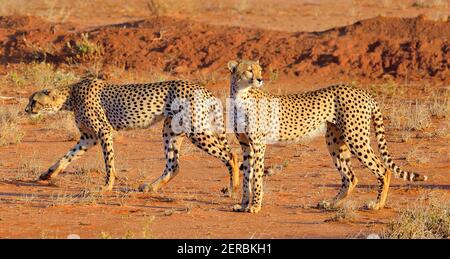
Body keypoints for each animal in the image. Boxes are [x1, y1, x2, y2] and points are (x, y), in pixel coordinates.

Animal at [24, 78, 241, 196]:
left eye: (34, 101)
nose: (26, 110)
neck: (71, 96)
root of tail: (201, 88)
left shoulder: (103, 131)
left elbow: (109, 162)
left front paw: (107, 186)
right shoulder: (88, 137)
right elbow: (67, 156)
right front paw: (47, 174)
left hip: (195, 130)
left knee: (232, 156)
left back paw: (233, 189)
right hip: (170, 129)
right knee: (174, 165)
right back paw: (151, 187)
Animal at [227, 60, 428, 214]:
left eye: (260, 70)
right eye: (249, 70)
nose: (260, 79)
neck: (241, 96)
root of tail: (362, 91)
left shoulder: (258, 144)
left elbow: (256, 176)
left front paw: (255, 206)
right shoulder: (246, 146)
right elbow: (247, 176)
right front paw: (243, 204)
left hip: (356, 138)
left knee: (383, 169)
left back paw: (378, 204)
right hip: (335, 141)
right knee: (350, 177)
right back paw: (330, 204)